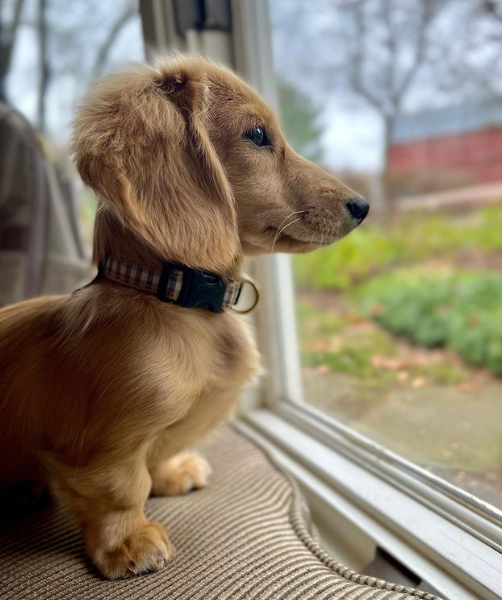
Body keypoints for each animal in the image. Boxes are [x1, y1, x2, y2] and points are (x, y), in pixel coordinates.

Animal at [0, 55, 368, 576]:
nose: (362, 205)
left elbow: (157, 454)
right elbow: (120, 486)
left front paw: (171, 472)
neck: (174, 299)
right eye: (257, 135)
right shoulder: (101, 444)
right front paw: (127, 540)